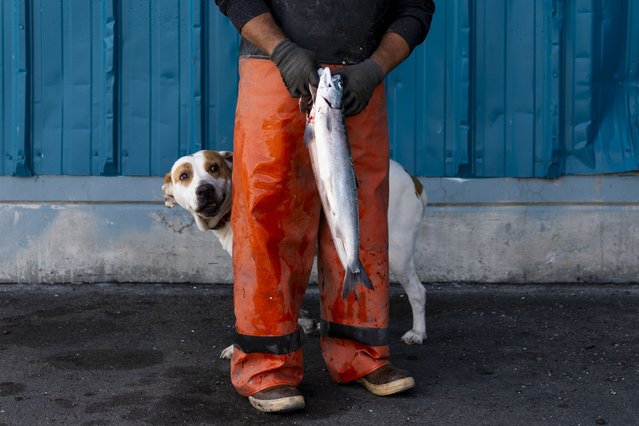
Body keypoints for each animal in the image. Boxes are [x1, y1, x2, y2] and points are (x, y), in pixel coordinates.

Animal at [162, 150, 428, 350]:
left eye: (214, 168)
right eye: (184, 176)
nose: (204, 189)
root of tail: (412, 178)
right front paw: (305, 322)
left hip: (397, 252)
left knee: (417, 291)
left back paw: (417, 332)